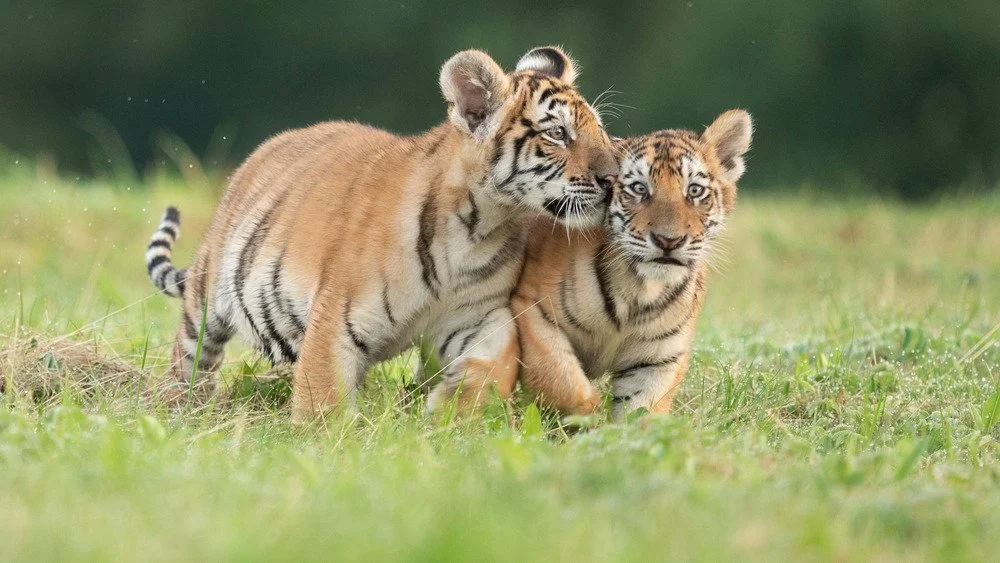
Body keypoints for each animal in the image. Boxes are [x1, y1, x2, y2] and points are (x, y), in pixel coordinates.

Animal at [144, 46, 619, 421]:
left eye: (600, 129)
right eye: (558, 133)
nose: (614, 177)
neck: (479, 225)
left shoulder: (478, 314)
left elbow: (497, 360)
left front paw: (454, 412)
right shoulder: (335, 321)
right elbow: (324, 401)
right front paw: (325, 444)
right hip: (206, 305)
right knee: (190, 359)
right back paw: (181, 407)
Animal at [510, 109, 752, 420]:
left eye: (695, 191)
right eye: (639, 189)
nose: (668, 240)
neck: (639, 289)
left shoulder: (659, 357)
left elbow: (641, 412)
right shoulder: (533, 312)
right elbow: (562, 382)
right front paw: (589, 419)